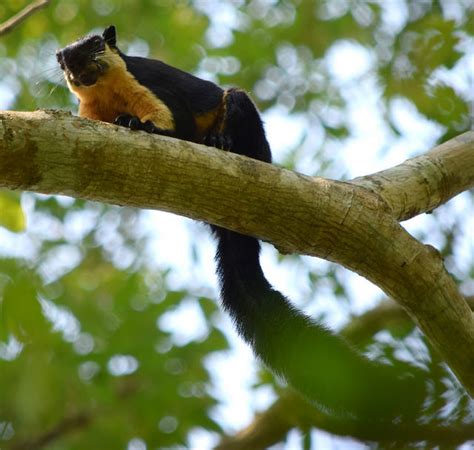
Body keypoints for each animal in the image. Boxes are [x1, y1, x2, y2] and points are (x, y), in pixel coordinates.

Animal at [57, 25, 424, 422]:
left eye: (96, 43)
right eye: (61, 58)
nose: (74, 61)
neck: (106, 93)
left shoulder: (152, 87)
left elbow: (176, 127)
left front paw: (136, 123)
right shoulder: (90, 113)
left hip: (242, 114)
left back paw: (220, 142)